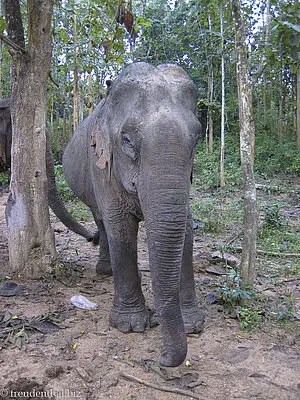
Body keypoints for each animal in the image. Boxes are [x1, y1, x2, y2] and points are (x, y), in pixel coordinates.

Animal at [62, 61, 205, 366]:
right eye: (126, 140)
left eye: (197, 138)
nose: (161, 359)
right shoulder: (102, 162)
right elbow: (121, 227)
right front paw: (131, 326)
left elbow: (185, 228)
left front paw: (192, 325)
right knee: (102, 220)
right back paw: (105, 270)